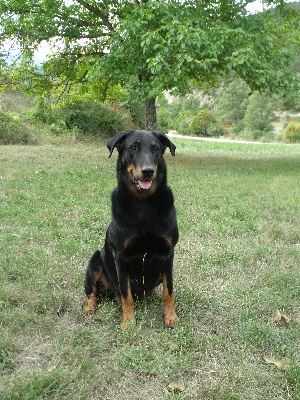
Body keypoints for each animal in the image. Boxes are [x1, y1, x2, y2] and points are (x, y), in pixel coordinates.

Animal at [83, 130, 179, 330]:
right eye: (133, 147)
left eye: (156, 149)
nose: (148, 171)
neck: (143, 203)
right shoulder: (121, 256)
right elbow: (126, 295)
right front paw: (128, 322)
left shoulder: (168, 253)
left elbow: (169, 290)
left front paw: (170, 316)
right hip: (95, 260)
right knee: (93, 293)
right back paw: (89, 308)